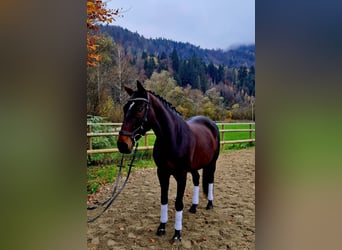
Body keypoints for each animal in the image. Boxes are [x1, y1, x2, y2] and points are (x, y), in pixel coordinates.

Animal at [116, 81, 220, 241]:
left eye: (139, 108)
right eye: (125, 108)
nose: (122, 144)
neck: (173, 138)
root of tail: (210, 123)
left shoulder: (181, 175)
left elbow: (178, 203)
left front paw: (177, 234)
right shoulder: (162, 173)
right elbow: (164, 199)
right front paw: (162, 228)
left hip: (212, 163)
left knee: (210, 180)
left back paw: (209, 204)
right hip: (193, 167)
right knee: (197, 179)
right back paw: (194, 206)